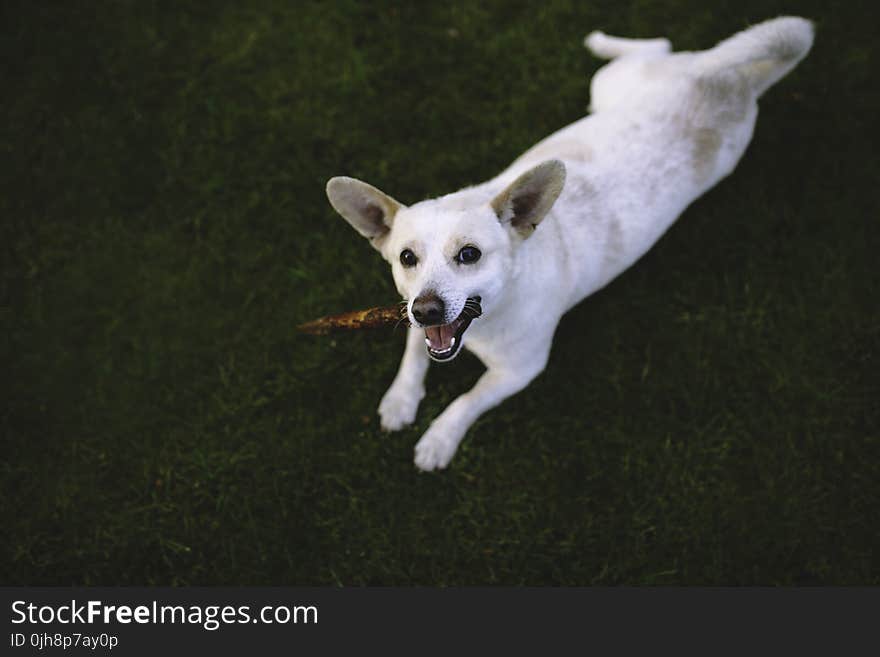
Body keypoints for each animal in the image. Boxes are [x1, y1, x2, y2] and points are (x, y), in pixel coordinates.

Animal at [322, 15, 812, 466]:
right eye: (407, 258)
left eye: (469, 254)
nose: (427, 309)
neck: (490, 317)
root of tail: (733, 79)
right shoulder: (411, 315)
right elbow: (413, 352)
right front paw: (401, 399)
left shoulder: (519, 372)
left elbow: (468, 400)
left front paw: (440, 439)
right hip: (613, 88)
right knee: (659, 45)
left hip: (622, 87)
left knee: (657, 42)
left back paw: (601, 40)